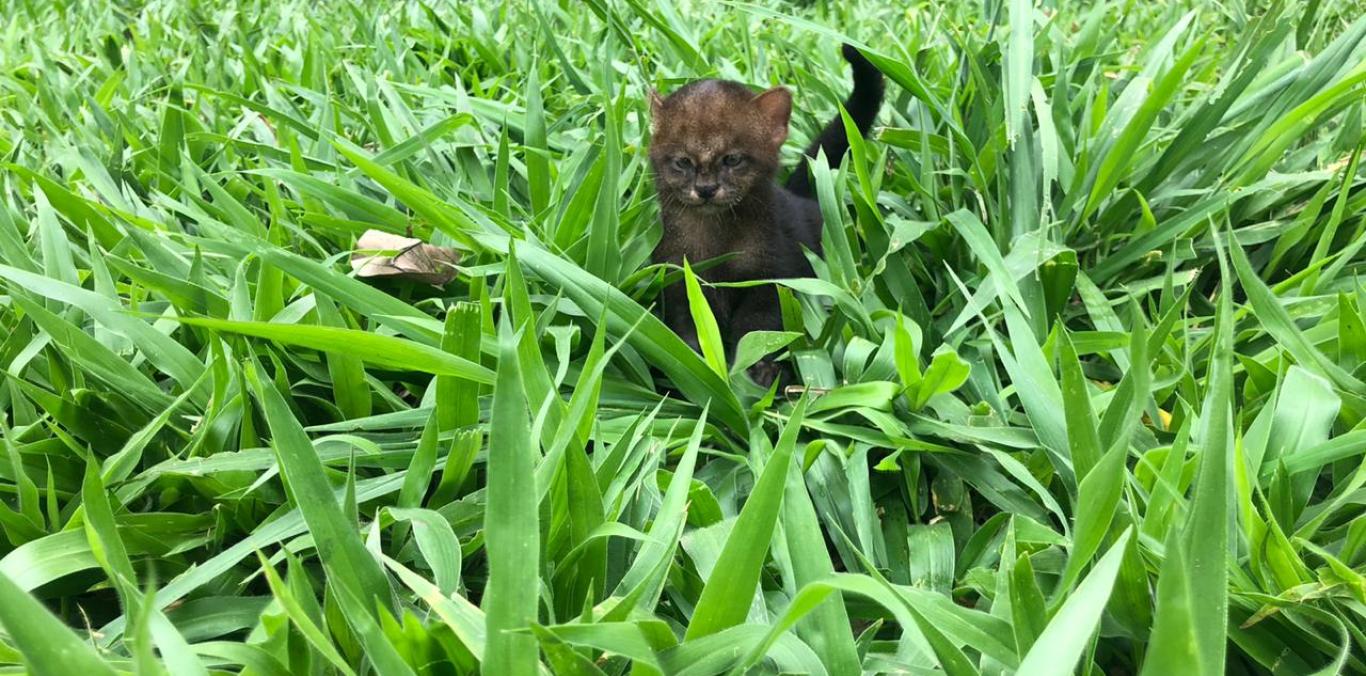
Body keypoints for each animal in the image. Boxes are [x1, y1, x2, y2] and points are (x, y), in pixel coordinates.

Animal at [647, 43, 885, 385]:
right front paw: (692, 367)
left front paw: (763, 371)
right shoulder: (678, 279)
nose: (706, 189)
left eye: (732, 159)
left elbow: (758, 329)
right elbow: (688, 329)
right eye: (682, 162)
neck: (717, 239)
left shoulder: (771, 276)